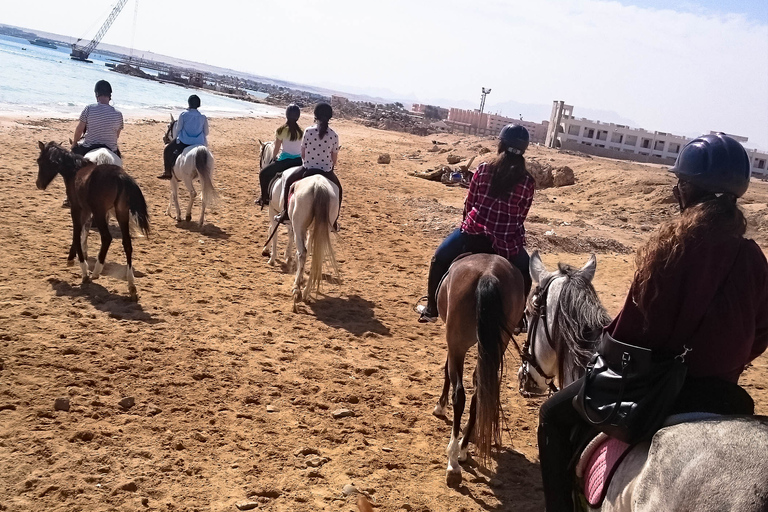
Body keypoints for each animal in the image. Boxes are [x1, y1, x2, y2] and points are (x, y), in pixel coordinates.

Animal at [36, 140, 150, 300]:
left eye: (40, 161)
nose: (39, 184)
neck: (75, 170)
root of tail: (120, 176)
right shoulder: (86, 210)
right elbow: (83, 232)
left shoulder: (77, 209)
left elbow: (77, 233)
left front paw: (82, 270)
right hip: (121, 213)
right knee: (127, 243)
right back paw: (131, 285)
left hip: (100, 213)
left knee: (107, 237)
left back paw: (96, 271)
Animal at [432, 254, 528, 486]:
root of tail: (488, 274)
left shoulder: (452, 345)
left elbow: (446, 371)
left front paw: (440, 406)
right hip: (496, 345)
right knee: (479, 392)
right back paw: (463, 450)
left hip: (457, 342)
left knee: (460, 395)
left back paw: (453, 461)